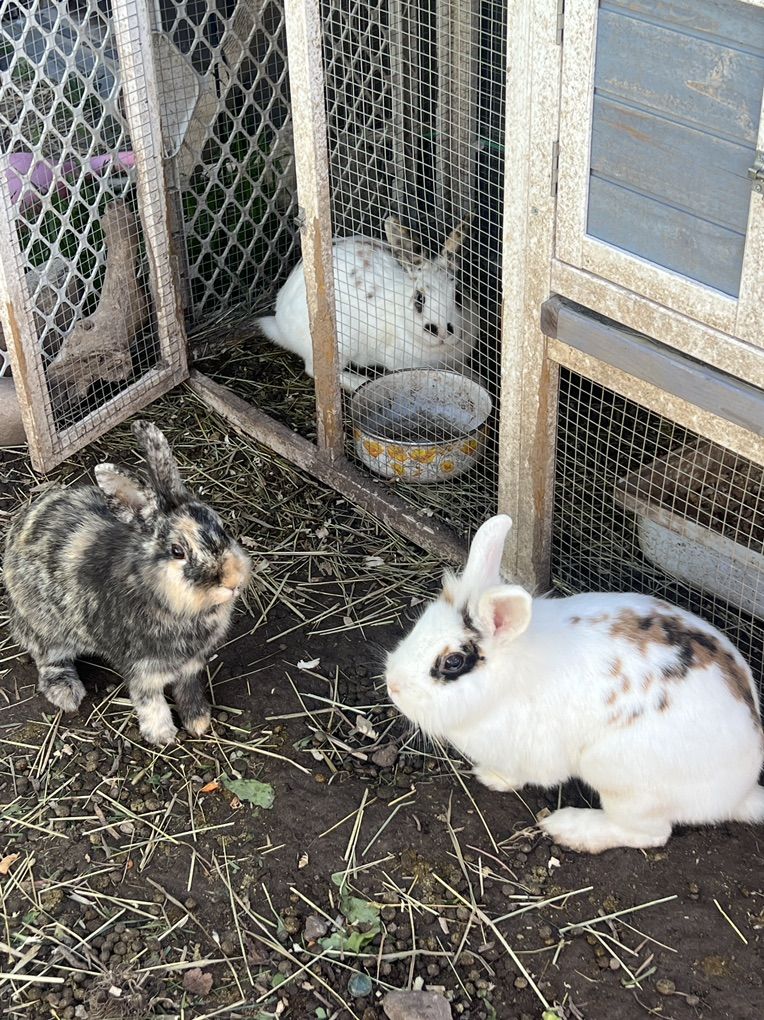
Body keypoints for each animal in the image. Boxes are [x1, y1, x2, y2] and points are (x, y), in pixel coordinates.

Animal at [3, 421, 251, 747]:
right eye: (177, 551)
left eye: (221, 526)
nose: (233, 581)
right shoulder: (142, 668)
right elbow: (150, 701)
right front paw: (163, 736)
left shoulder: (191, 664)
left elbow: (188, 688)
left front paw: (198, 721)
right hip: (48, 628)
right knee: (47, 657)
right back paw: (67, 693)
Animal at [257, 216, 475, 393]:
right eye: (419, 298)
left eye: (458, 296)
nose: (442, 331)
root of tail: (280, 321)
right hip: (338, 345)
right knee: (317, 372)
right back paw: (359, 382)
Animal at [385, 514, 764, 853]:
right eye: (421, 622)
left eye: (452, 662)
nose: (392, 685)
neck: (507, 680)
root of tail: (740, 792)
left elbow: (516, 775)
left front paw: (490, 777)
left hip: (623, 782)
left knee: (650, 834)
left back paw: (570, 828)